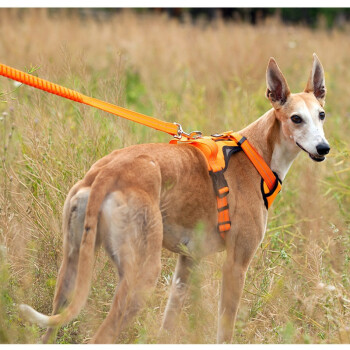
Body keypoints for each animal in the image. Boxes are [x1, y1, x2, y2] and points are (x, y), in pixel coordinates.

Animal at [19, 53, 330, 344]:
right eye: (296, 118)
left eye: (322, 115)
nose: (323, 148)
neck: (256, 152)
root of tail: (107, 172)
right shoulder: (236, 265)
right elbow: (224, 331)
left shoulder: (187, 263)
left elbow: (167, 324)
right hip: (142, 276)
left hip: (70, 269)